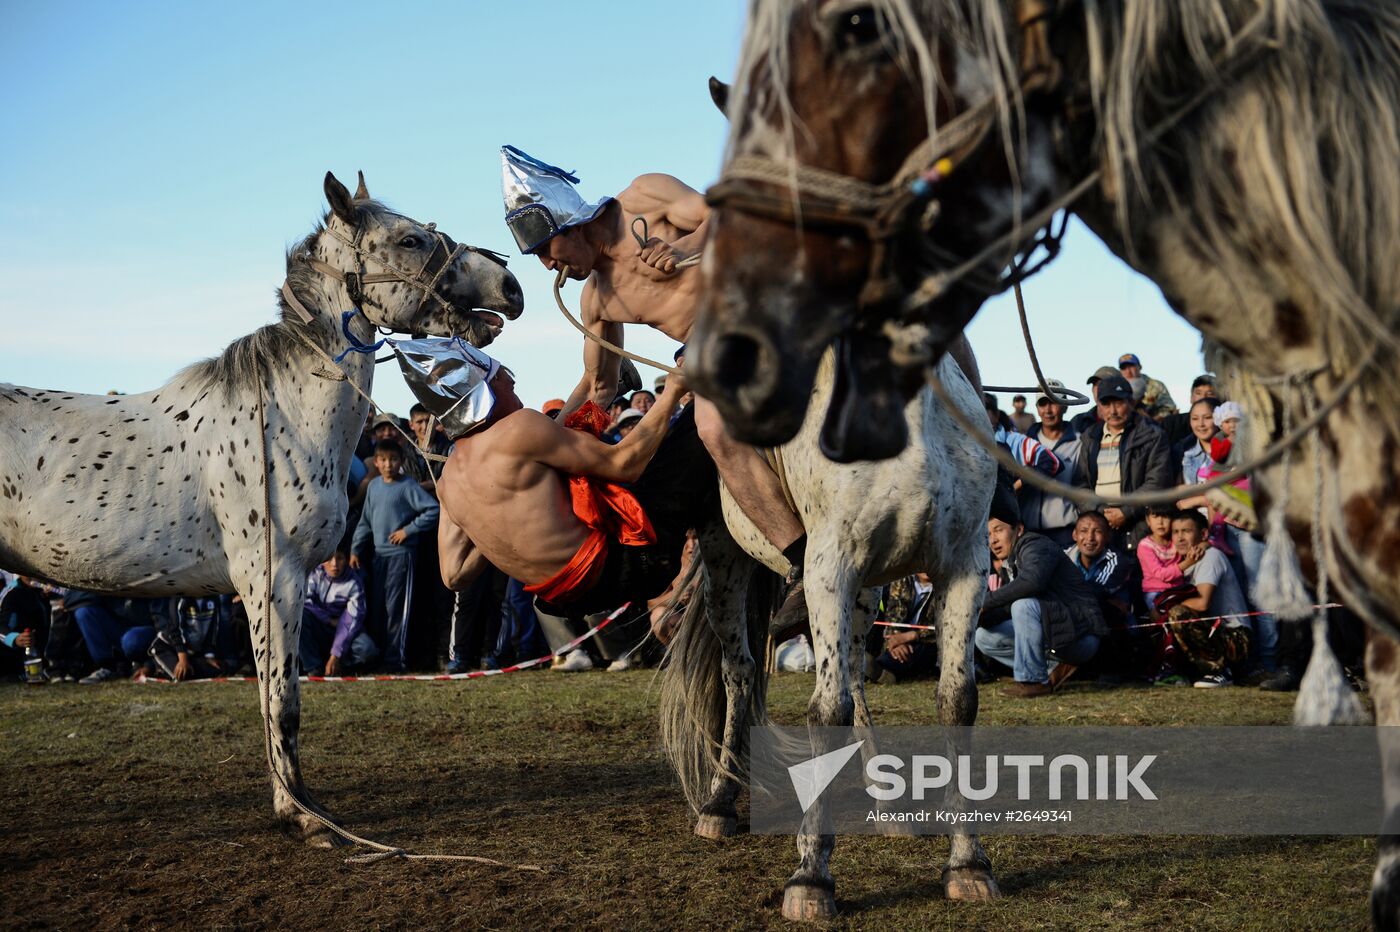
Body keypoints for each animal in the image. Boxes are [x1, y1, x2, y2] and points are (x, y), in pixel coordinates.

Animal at [0, 172, 523, 839]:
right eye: (410, 239)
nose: (510, 287)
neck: (283, 416)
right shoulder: (270, 578)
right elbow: (281, 700)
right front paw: (299, 813)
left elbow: (279, 697)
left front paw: (298, 802)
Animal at [658, 349, 996, 923]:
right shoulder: (828, 568)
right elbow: (825, 711)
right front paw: (811, 875)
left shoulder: (963, 568)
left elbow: (957, 703)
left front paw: (967, 863)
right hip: (726, 559)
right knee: (739, 673)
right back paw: (720, 802)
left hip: (863, 593)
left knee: (856, 679)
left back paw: (886, 803)